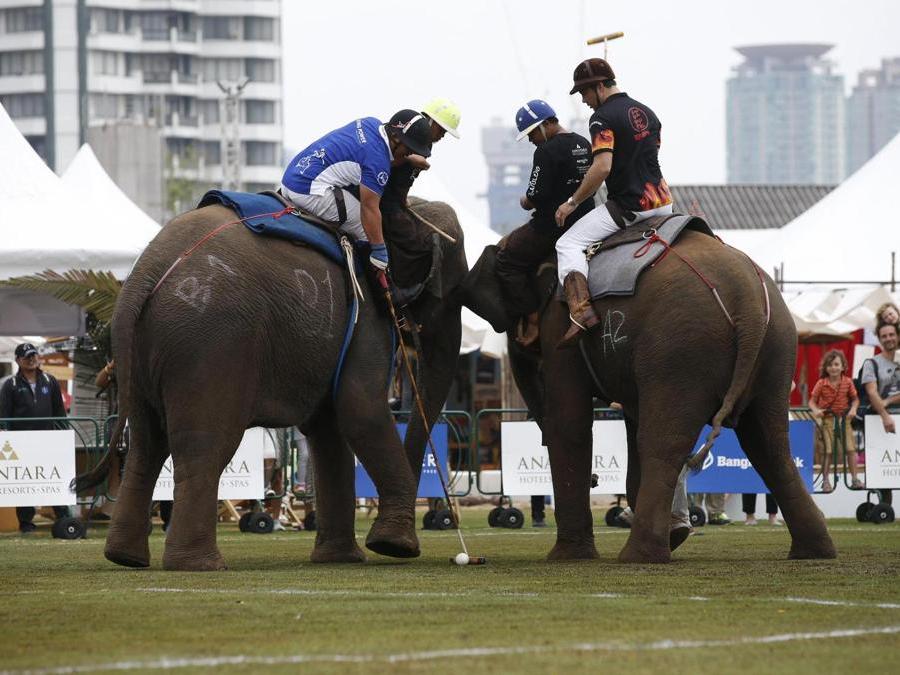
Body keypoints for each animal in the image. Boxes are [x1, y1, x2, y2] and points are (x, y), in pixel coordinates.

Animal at [76, 198, 465, 571]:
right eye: (447, 285)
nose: (444, 519)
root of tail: (143, 276)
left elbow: (329, 428)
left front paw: (341, 558)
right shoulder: (366, 311)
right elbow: (361, 411)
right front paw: (393, 547)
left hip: (143, 357)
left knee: (146, 445)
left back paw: (126, 558)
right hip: (211, 346)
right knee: (205, 447)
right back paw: (200, 565)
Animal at [462, 224, 836, 563]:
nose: (597, 480)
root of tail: (747, 297)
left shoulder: (562, 327)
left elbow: (570, 424)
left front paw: (566, 558)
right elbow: (632, 420)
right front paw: (675, 532)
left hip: (682, 347)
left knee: (664, 441)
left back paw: (639, 555)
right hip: (777, 347)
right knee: (769, 445)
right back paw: (812, 552)